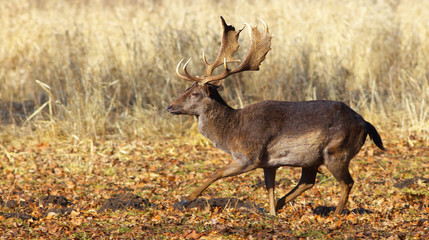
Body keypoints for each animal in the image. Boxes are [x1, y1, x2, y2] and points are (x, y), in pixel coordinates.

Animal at [167, 16, 384, 216]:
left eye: (195, 94)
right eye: (186, 89)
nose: (170, 106)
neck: (232, 133)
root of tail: (365, 123)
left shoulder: (250, 157)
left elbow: (217, 172)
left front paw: (185, 199)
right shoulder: (268, 163)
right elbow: (269, 187)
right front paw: (271, 212)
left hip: (337, 151)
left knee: (347, 182)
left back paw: (336, 214)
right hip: (312, 158)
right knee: (308, 182)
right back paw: (280, 206)